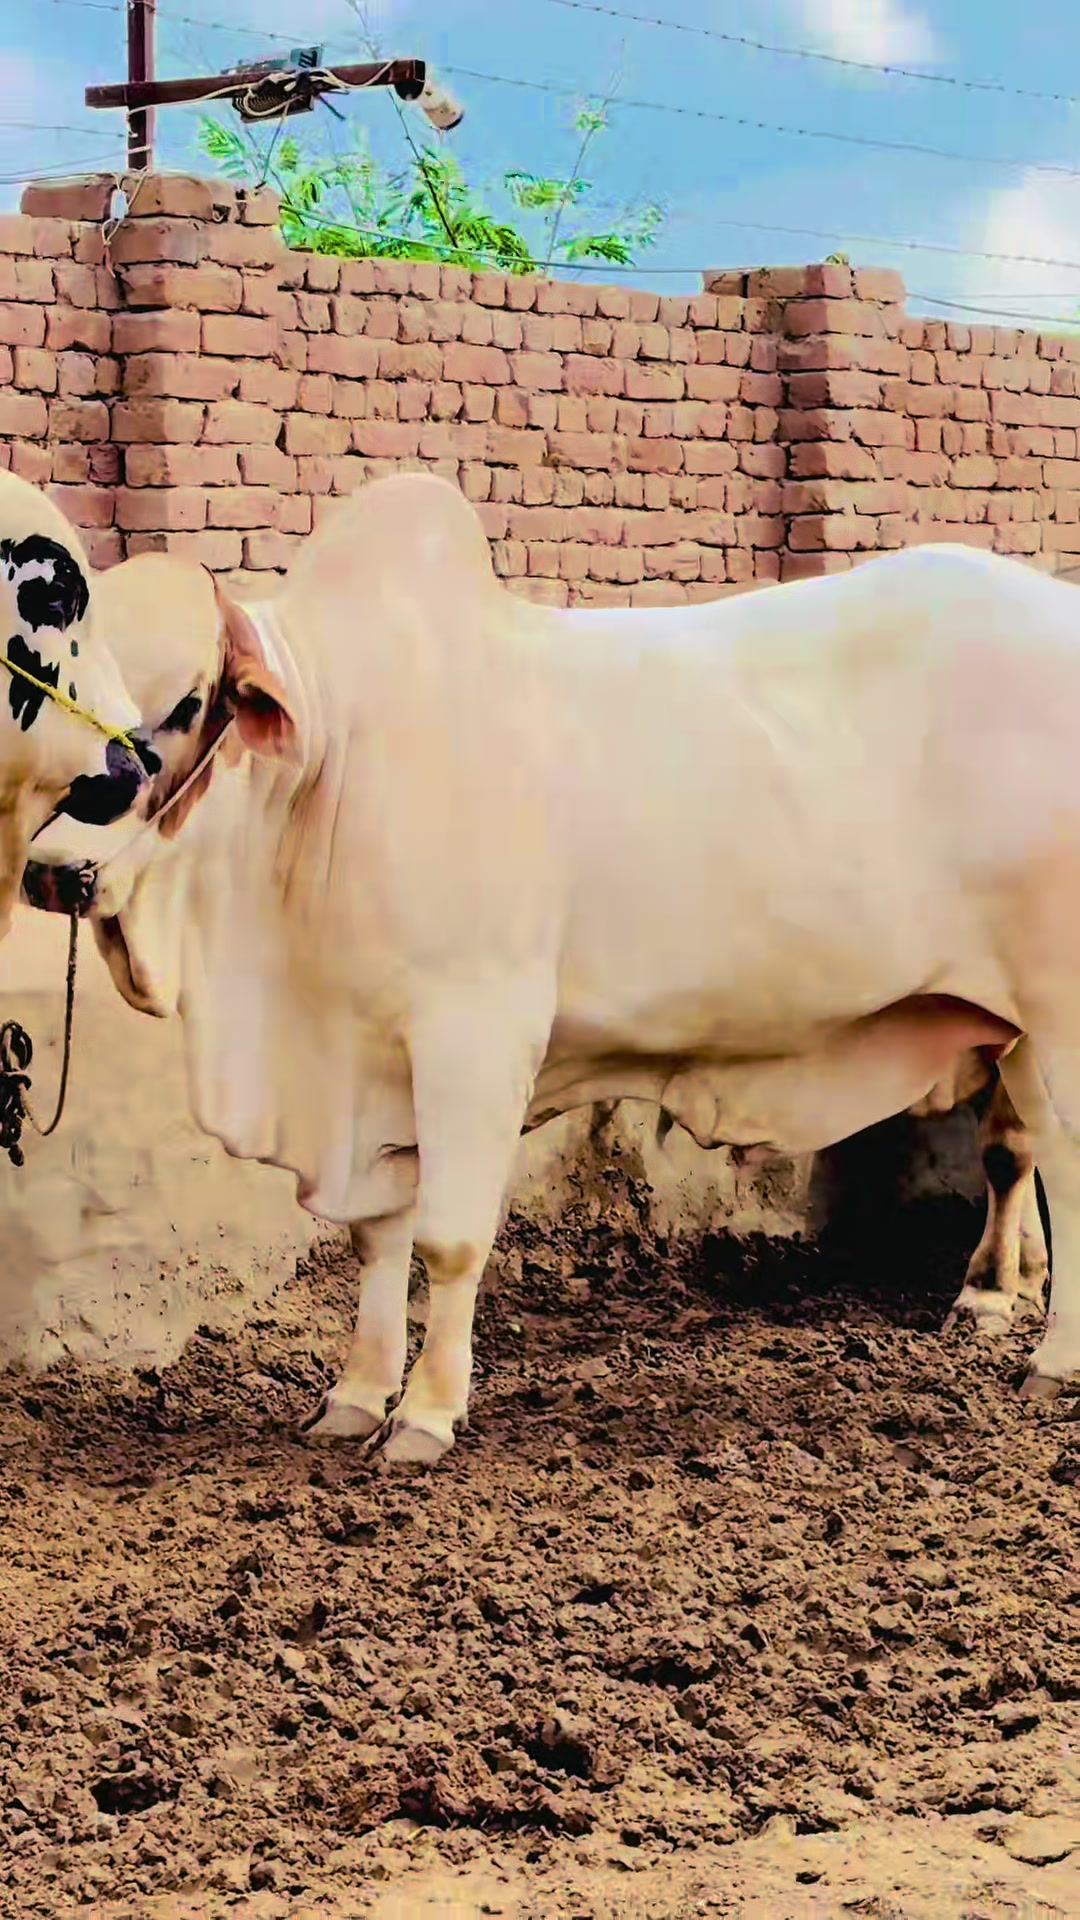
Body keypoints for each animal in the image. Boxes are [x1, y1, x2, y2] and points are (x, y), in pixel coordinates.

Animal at [21, 475, 1080, 1462]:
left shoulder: (473, 1037)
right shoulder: (374, 1063)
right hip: (1022, 1029)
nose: (51, 870)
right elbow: (376, 1240)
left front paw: (425, 1417)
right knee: (1043, 1160)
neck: (333, 764)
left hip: (1058, 1014)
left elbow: (449, 1243)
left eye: (188, 703)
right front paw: (355, 1399)